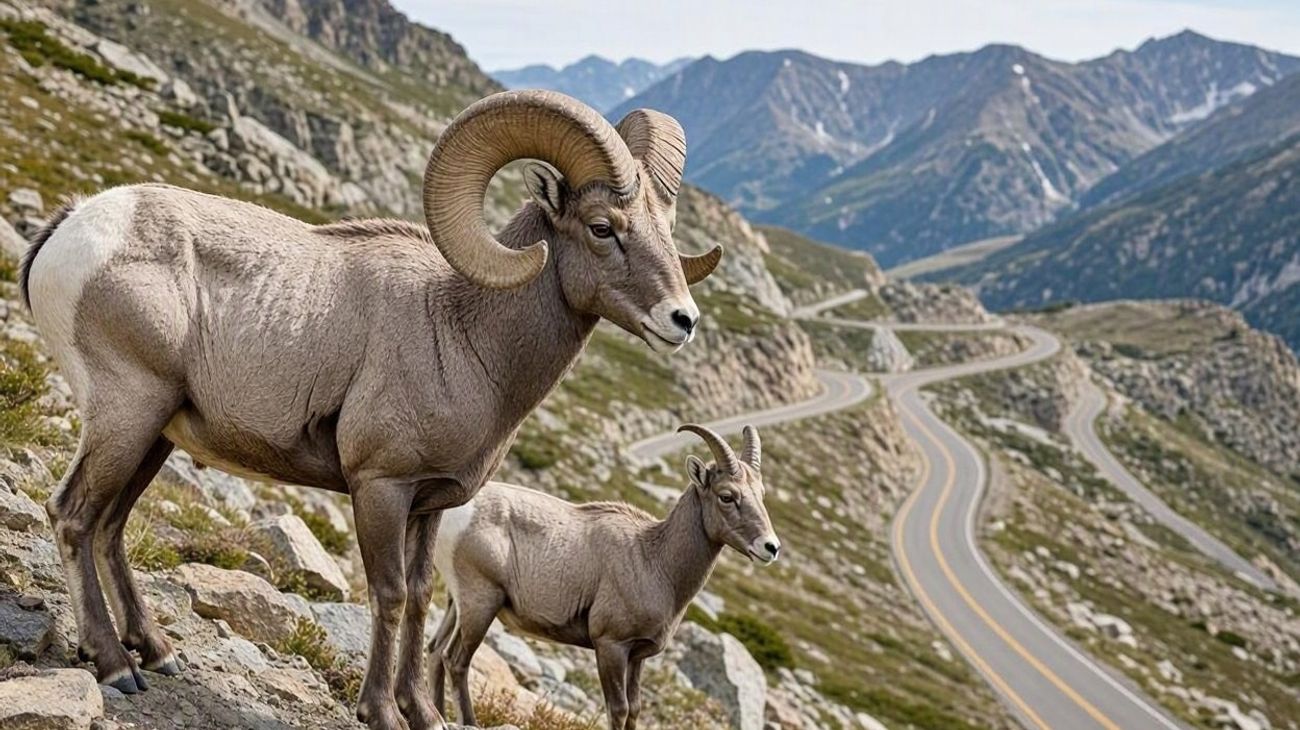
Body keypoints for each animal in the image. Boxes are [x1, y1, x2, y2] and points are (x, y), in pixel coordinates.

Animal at [19, 90, 722, 730]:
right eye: (603, 227)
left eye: (664, 229)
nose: (682, 320)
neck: (462, 328)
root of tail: (71, 226)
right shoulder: (380, 487)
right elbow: (386, 595)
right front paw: (380, 712)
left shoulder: (428, 505)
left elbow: (417, 599)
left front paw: (423, 715)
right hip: (128, 413)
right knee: (74, 516)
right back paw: (117, 666)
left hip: (156, 434)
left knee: (110, 526)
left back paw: (159, 653)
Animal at [427, 423, 780, 730]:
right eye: (726, 495)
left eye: (761, 493)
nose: (771, 547)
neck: (656, 562)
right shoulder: (610, 646)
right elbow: (618, 709)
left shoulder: (637, 656)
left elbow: (635, 709)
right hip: (481, 603)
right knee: (455, 660)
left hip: (457, 604)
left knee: (434, 651)